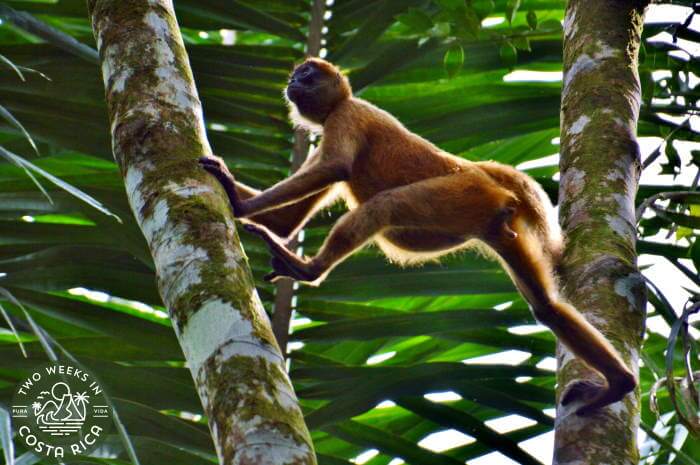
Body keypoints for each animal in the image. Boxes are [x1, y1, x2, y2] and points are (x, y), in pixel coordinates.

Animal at [199, 58, 636, 416]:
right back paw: (619, 384)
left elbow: (334, 168)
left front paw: (235, 200)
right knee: (546, 308)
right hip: (489, 221)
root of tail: (481, 174)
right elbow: (287, 222)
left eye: (305, 74)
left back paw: (309, 269)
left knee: (384, 206)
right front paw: (242, 200)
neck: (342, 106)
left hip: (461, 194)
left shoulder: (349, 115)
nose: (292, 80)